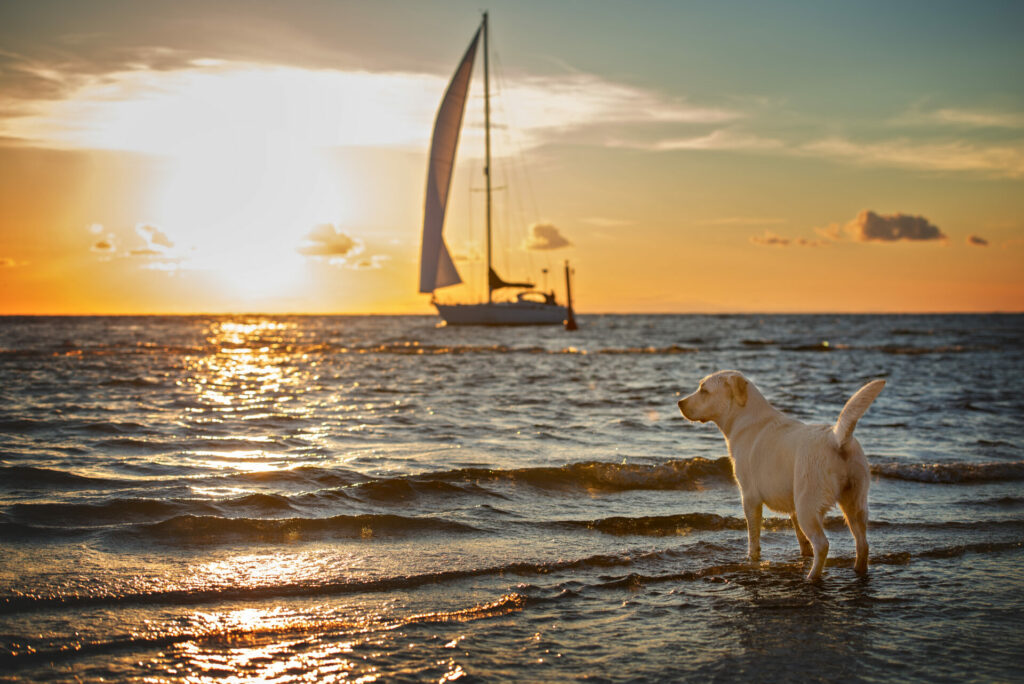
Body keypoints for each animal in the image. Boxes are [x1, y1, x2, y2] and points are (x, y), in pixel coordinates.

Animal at [675, 370, 884, 581]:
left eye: (704, 390)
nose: (680, 403)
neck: (745, 418)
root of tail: (837, 439)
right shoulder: (791, 505)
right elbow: (801, 538)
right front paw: (803, 555)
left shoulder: (750, 497)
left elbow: (753, 538)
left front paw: (752, 560)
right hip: (854, 503)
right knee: (862, 544)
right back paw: (858, 571)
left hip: (808, 505)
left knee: (823, 544)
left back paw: (812, 577)